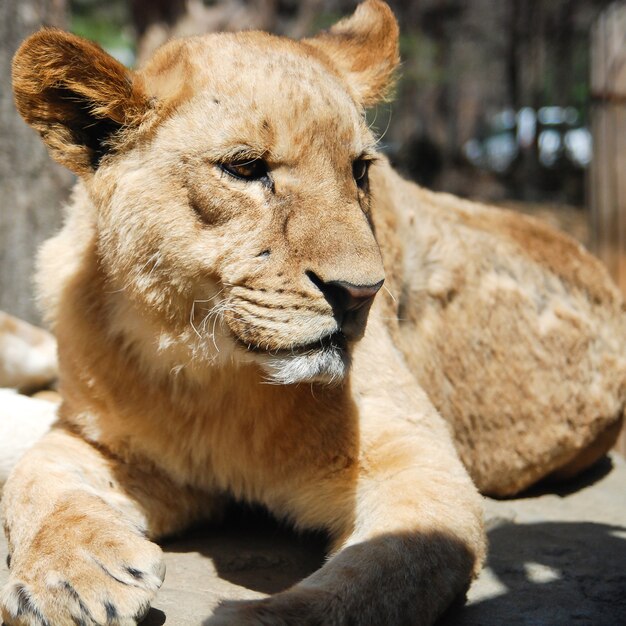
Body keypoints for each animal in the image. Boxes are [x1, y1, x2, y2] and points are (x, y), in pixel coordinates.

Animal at [1, 0, 620, 620]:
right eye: (245, 169)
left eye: (360, 170)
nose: (361, 293)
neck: (207, 374)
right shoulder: (118, 448)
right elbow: (33, 477)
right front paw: (70, 577)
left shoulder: (416, 464)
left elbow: (379, 578)